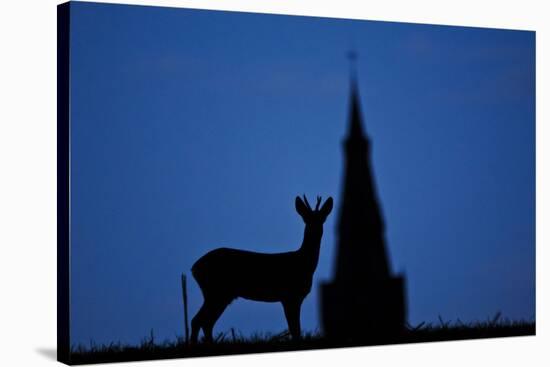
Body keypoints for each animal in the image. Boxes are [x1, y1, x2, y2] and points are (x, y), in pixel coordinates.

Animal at [190, 197, 336, 344]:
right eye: (306, 218)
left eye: (322, 218)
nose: (315, 230)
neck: (304, 263)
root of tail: (194, 268)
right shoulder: (288, 296)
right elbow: (295, 329)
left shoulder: (296, 298)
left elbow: (296, 329)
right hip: (216, 292)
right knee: (198, 320)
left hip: (219, 294)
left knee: (206, 322)